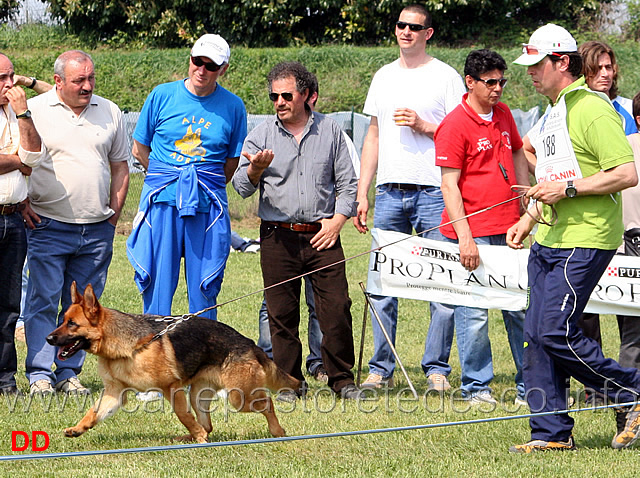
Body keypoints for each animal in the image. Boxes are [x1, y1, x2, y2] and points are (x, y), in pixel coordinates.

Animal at [46, 282, 302, 442]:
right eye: (63, 320)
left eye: (72, 324)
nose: (48, 339)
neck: (127, 347)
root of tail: (250, 343)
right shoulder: (114, 393)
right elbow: (94, 413)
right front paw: (78, 428)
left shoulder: (171, 388)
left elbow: (183, 415)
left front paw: (199, 438)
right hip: (198, 394)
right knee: (208, 424)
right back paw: (189, 437)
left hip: (239, 398)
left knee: (267, 403)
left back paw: (277, 431)